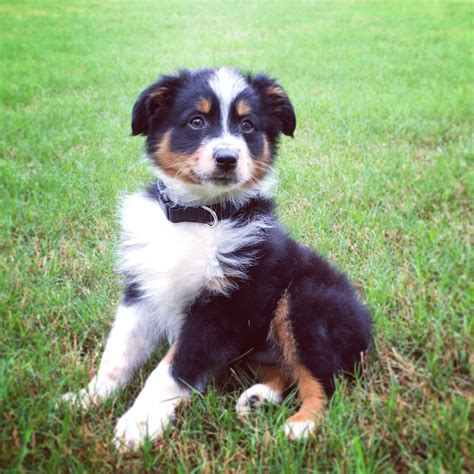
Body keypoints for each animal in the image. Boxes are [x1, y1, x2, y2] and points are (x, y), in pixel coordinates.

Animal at [63, 65, 372, 448]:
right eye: (196, 121)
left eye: (248, 126)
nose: (227, 158)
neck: (199, 215)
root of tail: (366, 323)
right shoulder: (142, 292)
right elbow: (118, 352)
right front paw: (89, 397)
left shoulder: (221, 308)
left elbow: (170, 370)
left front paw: (139, 423)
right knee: (284, 369)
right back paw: (258, 398)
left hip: (305, 300)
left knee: (324, 379)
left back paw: (302, 425)